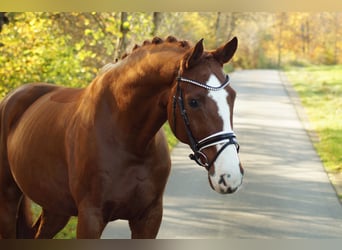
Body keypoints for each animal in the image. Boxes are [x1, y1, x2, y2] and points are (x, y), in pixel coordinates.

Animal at [0, 35, 243, 238]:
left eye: (232, 96)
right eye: (193, 101)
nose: (229, 176)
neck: (129, 142)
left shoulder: (149, 218)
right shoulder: (90, 218)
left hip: (55, 208)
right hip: (9, 200)